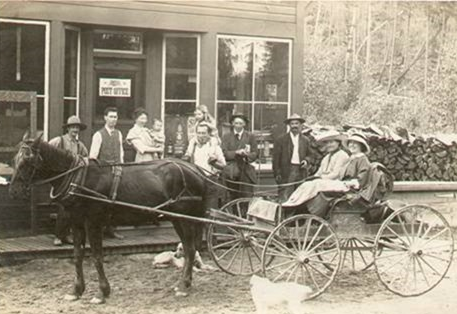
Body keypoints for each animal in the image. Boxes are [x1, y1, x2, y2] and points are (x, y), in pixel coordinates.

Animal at [8, 133, 207, 304]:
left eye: (28, 160)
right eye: (15, 159)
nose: (14, 192)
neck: (79, 178)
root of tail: (195, 169)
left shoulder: (93, 222)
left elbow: (97, 256)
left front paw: (101, 292)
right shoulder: (76, 222)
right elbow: (78, 256)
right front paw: (76, 290)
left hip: (185, 218)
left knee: (190, 250)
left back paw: (183, 286)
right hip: (177, 219)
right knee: (188, 249)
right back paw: (182, 284)